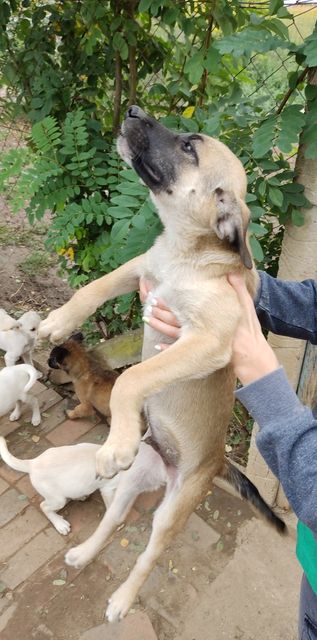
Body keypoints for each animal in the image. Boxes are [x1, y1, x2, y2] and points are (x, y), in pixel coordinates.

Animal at [0, 440, 168, 536]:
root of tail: (32, 463)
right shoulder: (108, 488)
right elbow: (112, 504)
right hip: (57, 499)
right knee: (44, 506)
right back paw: (60, 524)